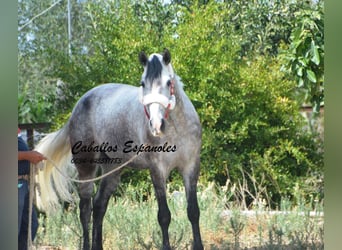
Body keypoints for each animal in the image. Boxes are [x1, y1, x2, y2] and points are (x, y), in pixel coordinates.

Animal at [34, 49, 203, 250]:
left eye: (168, 82)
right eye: (142, 83)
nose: (156, 125)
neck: (176, 129)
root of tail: (79, 104)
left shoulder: (191, 167)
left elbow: (193, 211)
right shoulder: (157, 170)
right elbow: (164, 216)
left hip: (113, 169)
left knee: (99, 206)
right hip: (86, 168)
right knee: (85, 210)